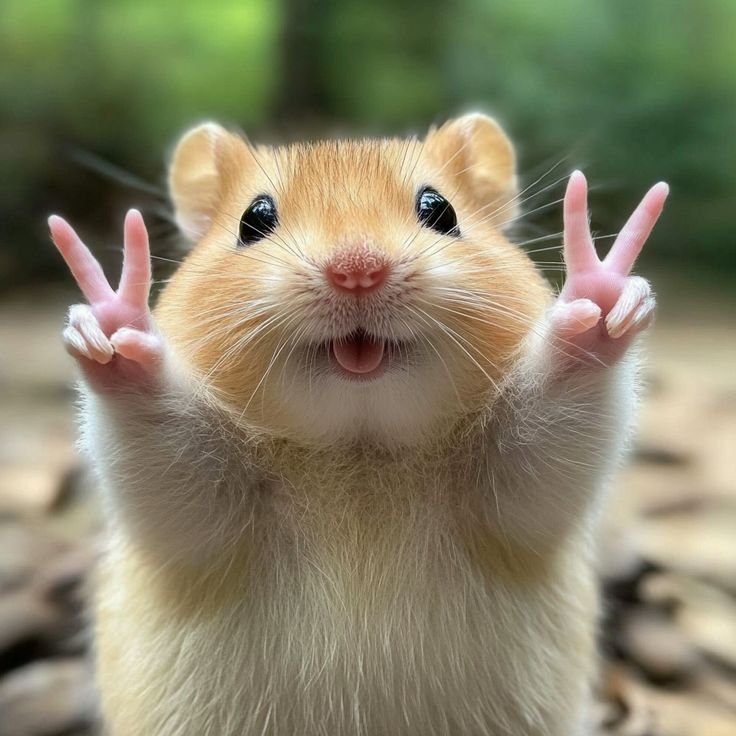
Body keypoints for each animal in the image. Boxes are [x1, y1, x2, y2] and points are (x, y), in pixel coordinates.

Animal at [49, 114, 668, 736]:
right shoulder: (196, 512)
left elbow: (556, 416)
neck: (359, 447)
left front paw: (599, 296)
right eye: (254, 220)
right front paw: (113, 326)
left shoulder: (516, 491)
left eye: (440, 210)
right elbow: (158, 438)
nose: (357, 272)